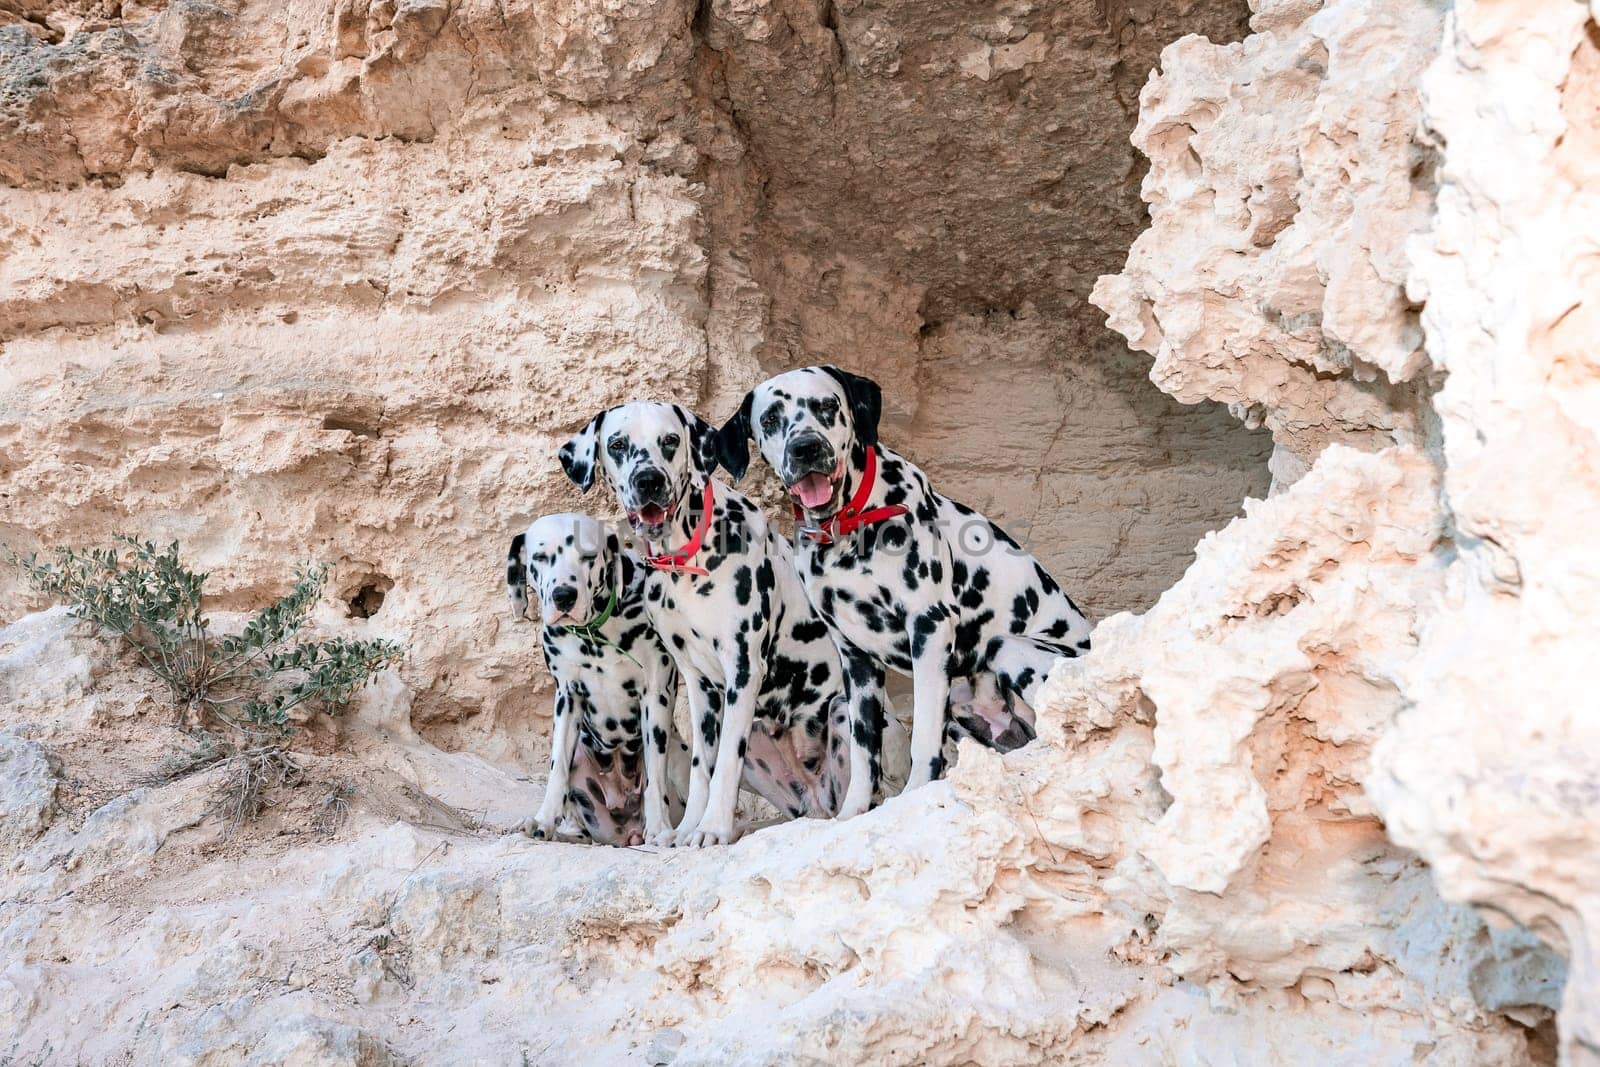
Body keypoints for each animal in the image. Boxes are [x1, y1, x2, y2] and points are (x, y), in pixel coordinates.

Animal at [505, 511, 688, 844]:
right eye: (540, 557)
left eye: (589, 556)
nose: (564, 596)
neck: (596, 635)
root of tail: (627, 832)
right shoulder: (567, 698)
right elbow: (557, 770)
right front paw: (543, 821)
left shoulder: (656, 696)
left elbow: (655, 778)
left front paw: (659, 827)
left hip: (681, 757)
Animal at [566, 403, 864, 851]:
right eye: (617, 444)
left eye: (670, 440)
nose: (649, 479)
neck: (685, 565)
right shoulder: (698, 683)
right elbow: (700, 767)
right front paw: (688, 827)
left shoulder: (742, 670)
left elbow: (724, 763)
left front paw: (712, 828)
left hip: (842, 710)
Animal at [720, 364, 1094, 819]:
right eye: (771, 419)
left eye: (827, 406)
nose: (806, 448)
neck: (848, 532)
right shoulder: (856, 661)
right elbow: (864, 754)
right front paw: (853, 812)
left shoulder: (929, 631)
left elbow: (924, 738)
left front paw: (915, 791)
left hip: (1009, 647)